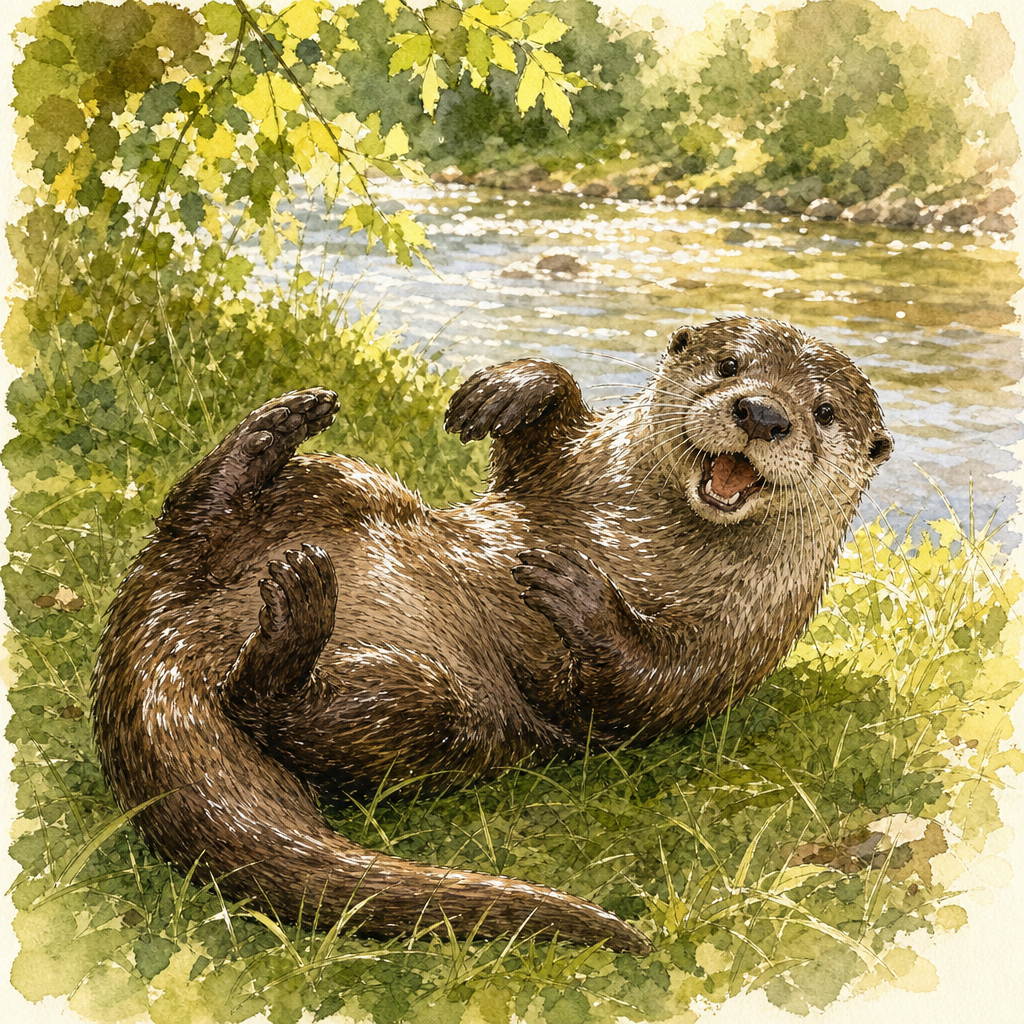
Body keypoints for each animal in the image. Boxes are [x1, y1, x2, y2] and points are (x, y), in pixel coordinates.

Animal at [91, 316, 892, 955]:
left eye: (823, 411)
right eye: (730, 365)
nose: (762, 412)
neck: (643, 538)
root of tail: (161, 637)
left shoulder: (742, 643)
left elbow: (641, 693)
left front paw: (579, 593)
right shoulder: (567, 472)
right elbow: (538, 445)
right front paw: (512, 388)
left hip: (443, 713)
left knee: (281, 709)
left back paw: (296, 617)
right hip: (328, 490)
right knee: (195, 519)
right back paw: (272, 434)